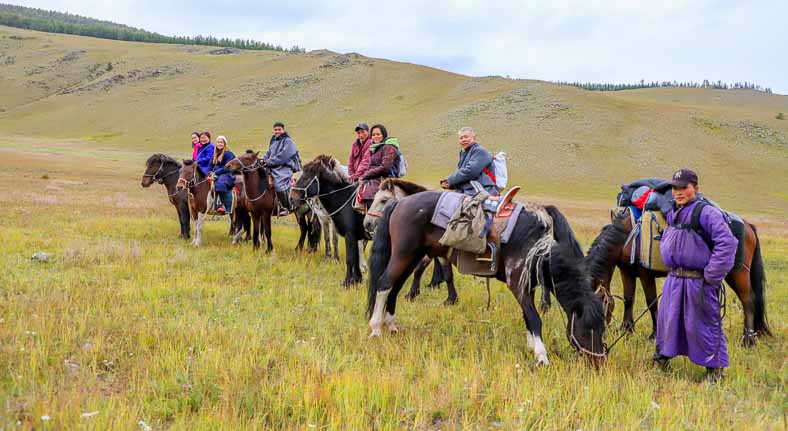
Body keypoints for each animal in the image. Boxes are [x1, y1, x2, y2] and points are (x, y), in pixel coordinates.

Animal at [292, 157, 370, 288]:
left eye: (306, 177)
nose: (292, 198)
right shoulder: (323, 219)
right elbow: (327, 238)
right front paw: (327, 257)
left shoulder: (347, 232)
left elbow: (342, 247)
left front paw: (345, 277)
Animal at [366, 191, 608, 366]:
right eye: (587, 328)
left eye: (602, 328)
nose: (598, 362)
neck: (540, 242)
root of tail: (400, 203)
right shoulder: (516, 282)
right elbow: (534, 317)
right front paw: (541, 356)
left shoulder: (527, 284)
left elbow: (527, 316)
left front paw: (532, 346)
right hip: (403, 254)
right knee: (384, 284)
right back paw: (376, 329)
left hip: (412, 256)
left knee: (395, 287)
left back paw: (392, 325)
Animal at [588, 207, 772, 348]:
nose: (598, 334)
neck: (628, 236)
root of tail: (748, 226)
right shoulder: (626, 271)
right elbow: (628, 299)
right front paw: (626, 329)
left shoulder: (645, 274)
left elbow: (652, 303)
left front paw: (654, 335)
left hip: (738, 273)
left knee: (748, 301)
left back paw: (748, 340)